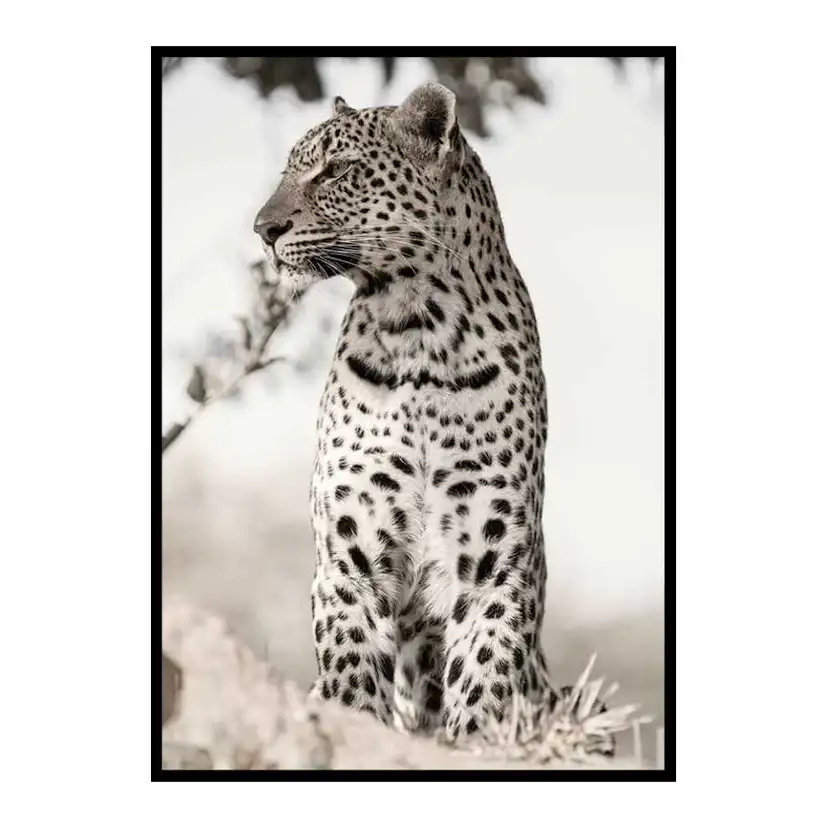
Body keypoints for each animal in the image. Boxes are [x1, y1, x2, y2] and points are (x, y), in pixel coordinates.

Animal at [255, 83, 557, 740]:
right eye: (289, 170)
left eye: (336, 170)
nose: (263, 228)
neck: (418, 327)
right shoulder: (349, 560)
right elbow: (351, 681)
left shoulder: (495, 567)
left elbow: (482, 688)